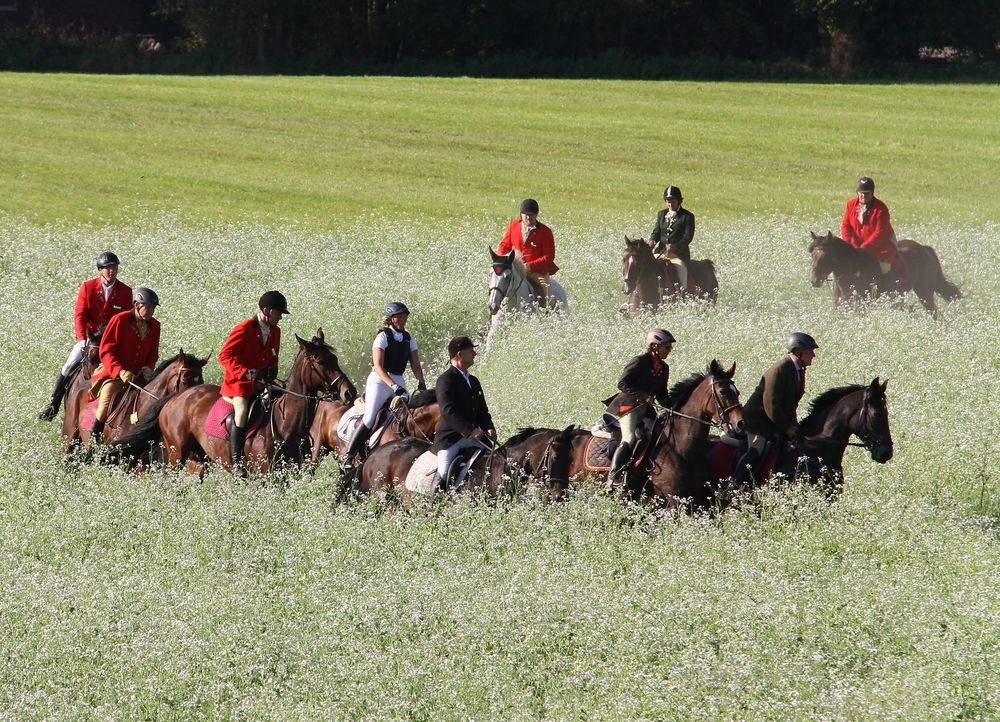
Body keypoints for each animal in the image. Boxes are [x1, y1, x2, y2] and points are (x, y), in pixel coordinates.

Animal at [112, 330, 356, 476]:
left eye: (335, 359)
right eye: (320, 361)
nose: (349, 392)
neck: (285, 422)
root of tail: (175, 397)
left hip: (198, 460)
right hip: (176, 454)